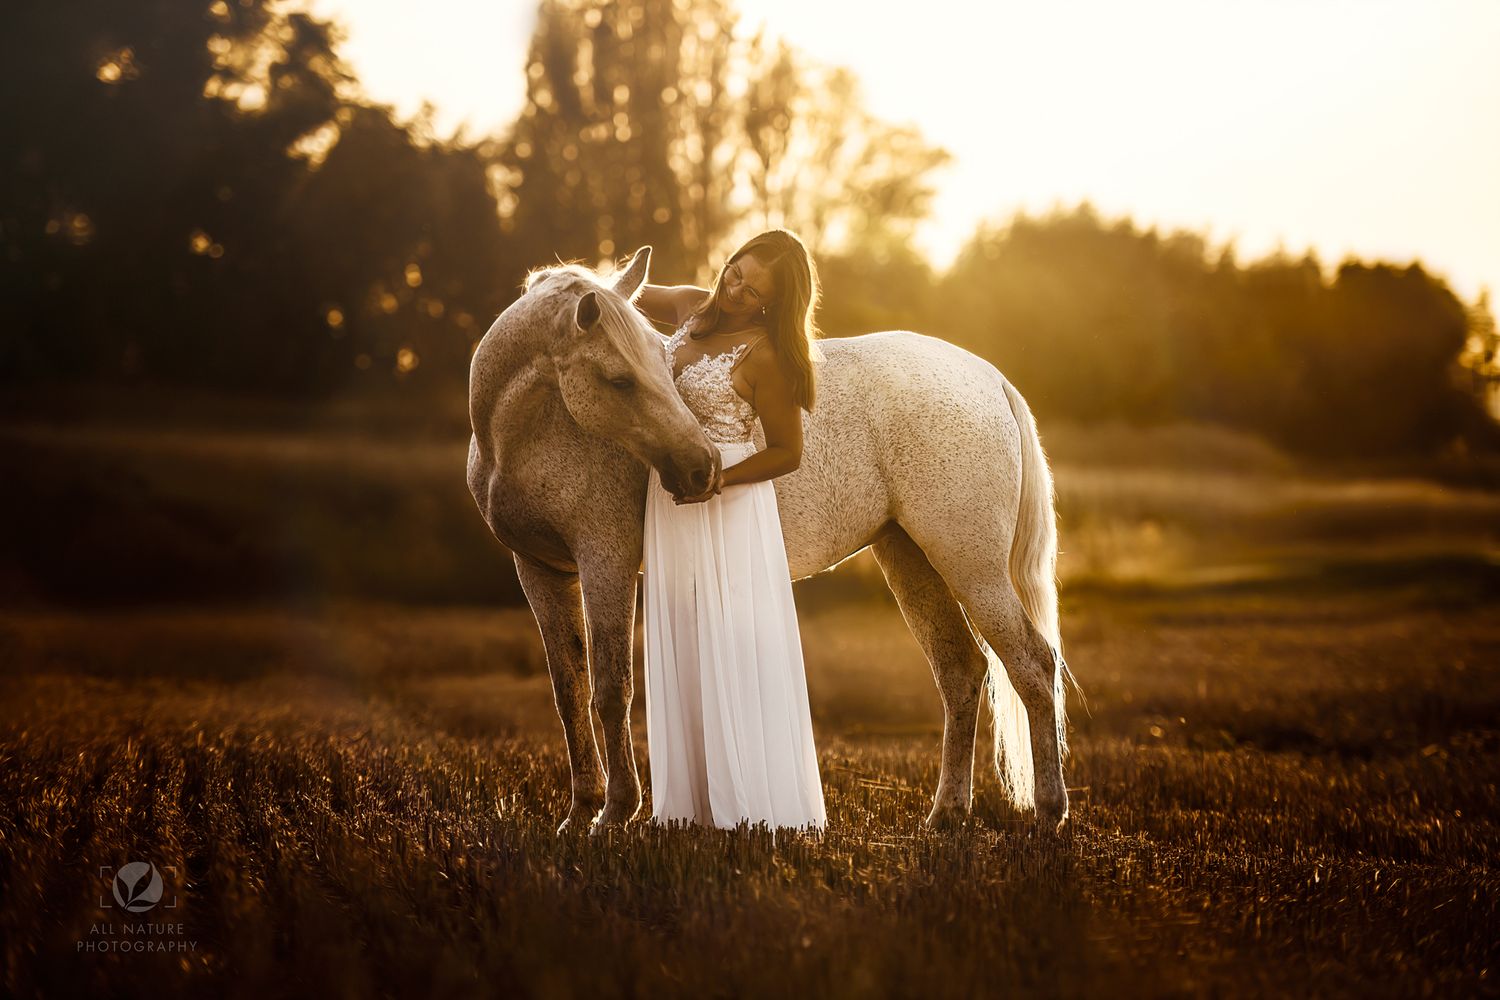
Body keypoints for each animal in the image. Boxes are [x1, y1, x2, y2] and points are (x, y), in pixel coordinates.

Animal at [467, 246, 1079, 835]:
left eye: (662, 369)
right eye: (622, 380)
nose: (699, 469)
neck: (527, 435)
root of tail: (988, 378)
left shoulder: (605, 563)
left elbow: (611, 690)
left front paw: (614, 814)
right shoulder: (540, 571)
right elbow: (569, 692)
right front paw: (579, 813)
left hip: (972, 568)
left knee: (1032, 665)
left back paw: (1049, 814)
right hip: (912, 560)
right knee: (961, 672)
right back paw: (947, 814)